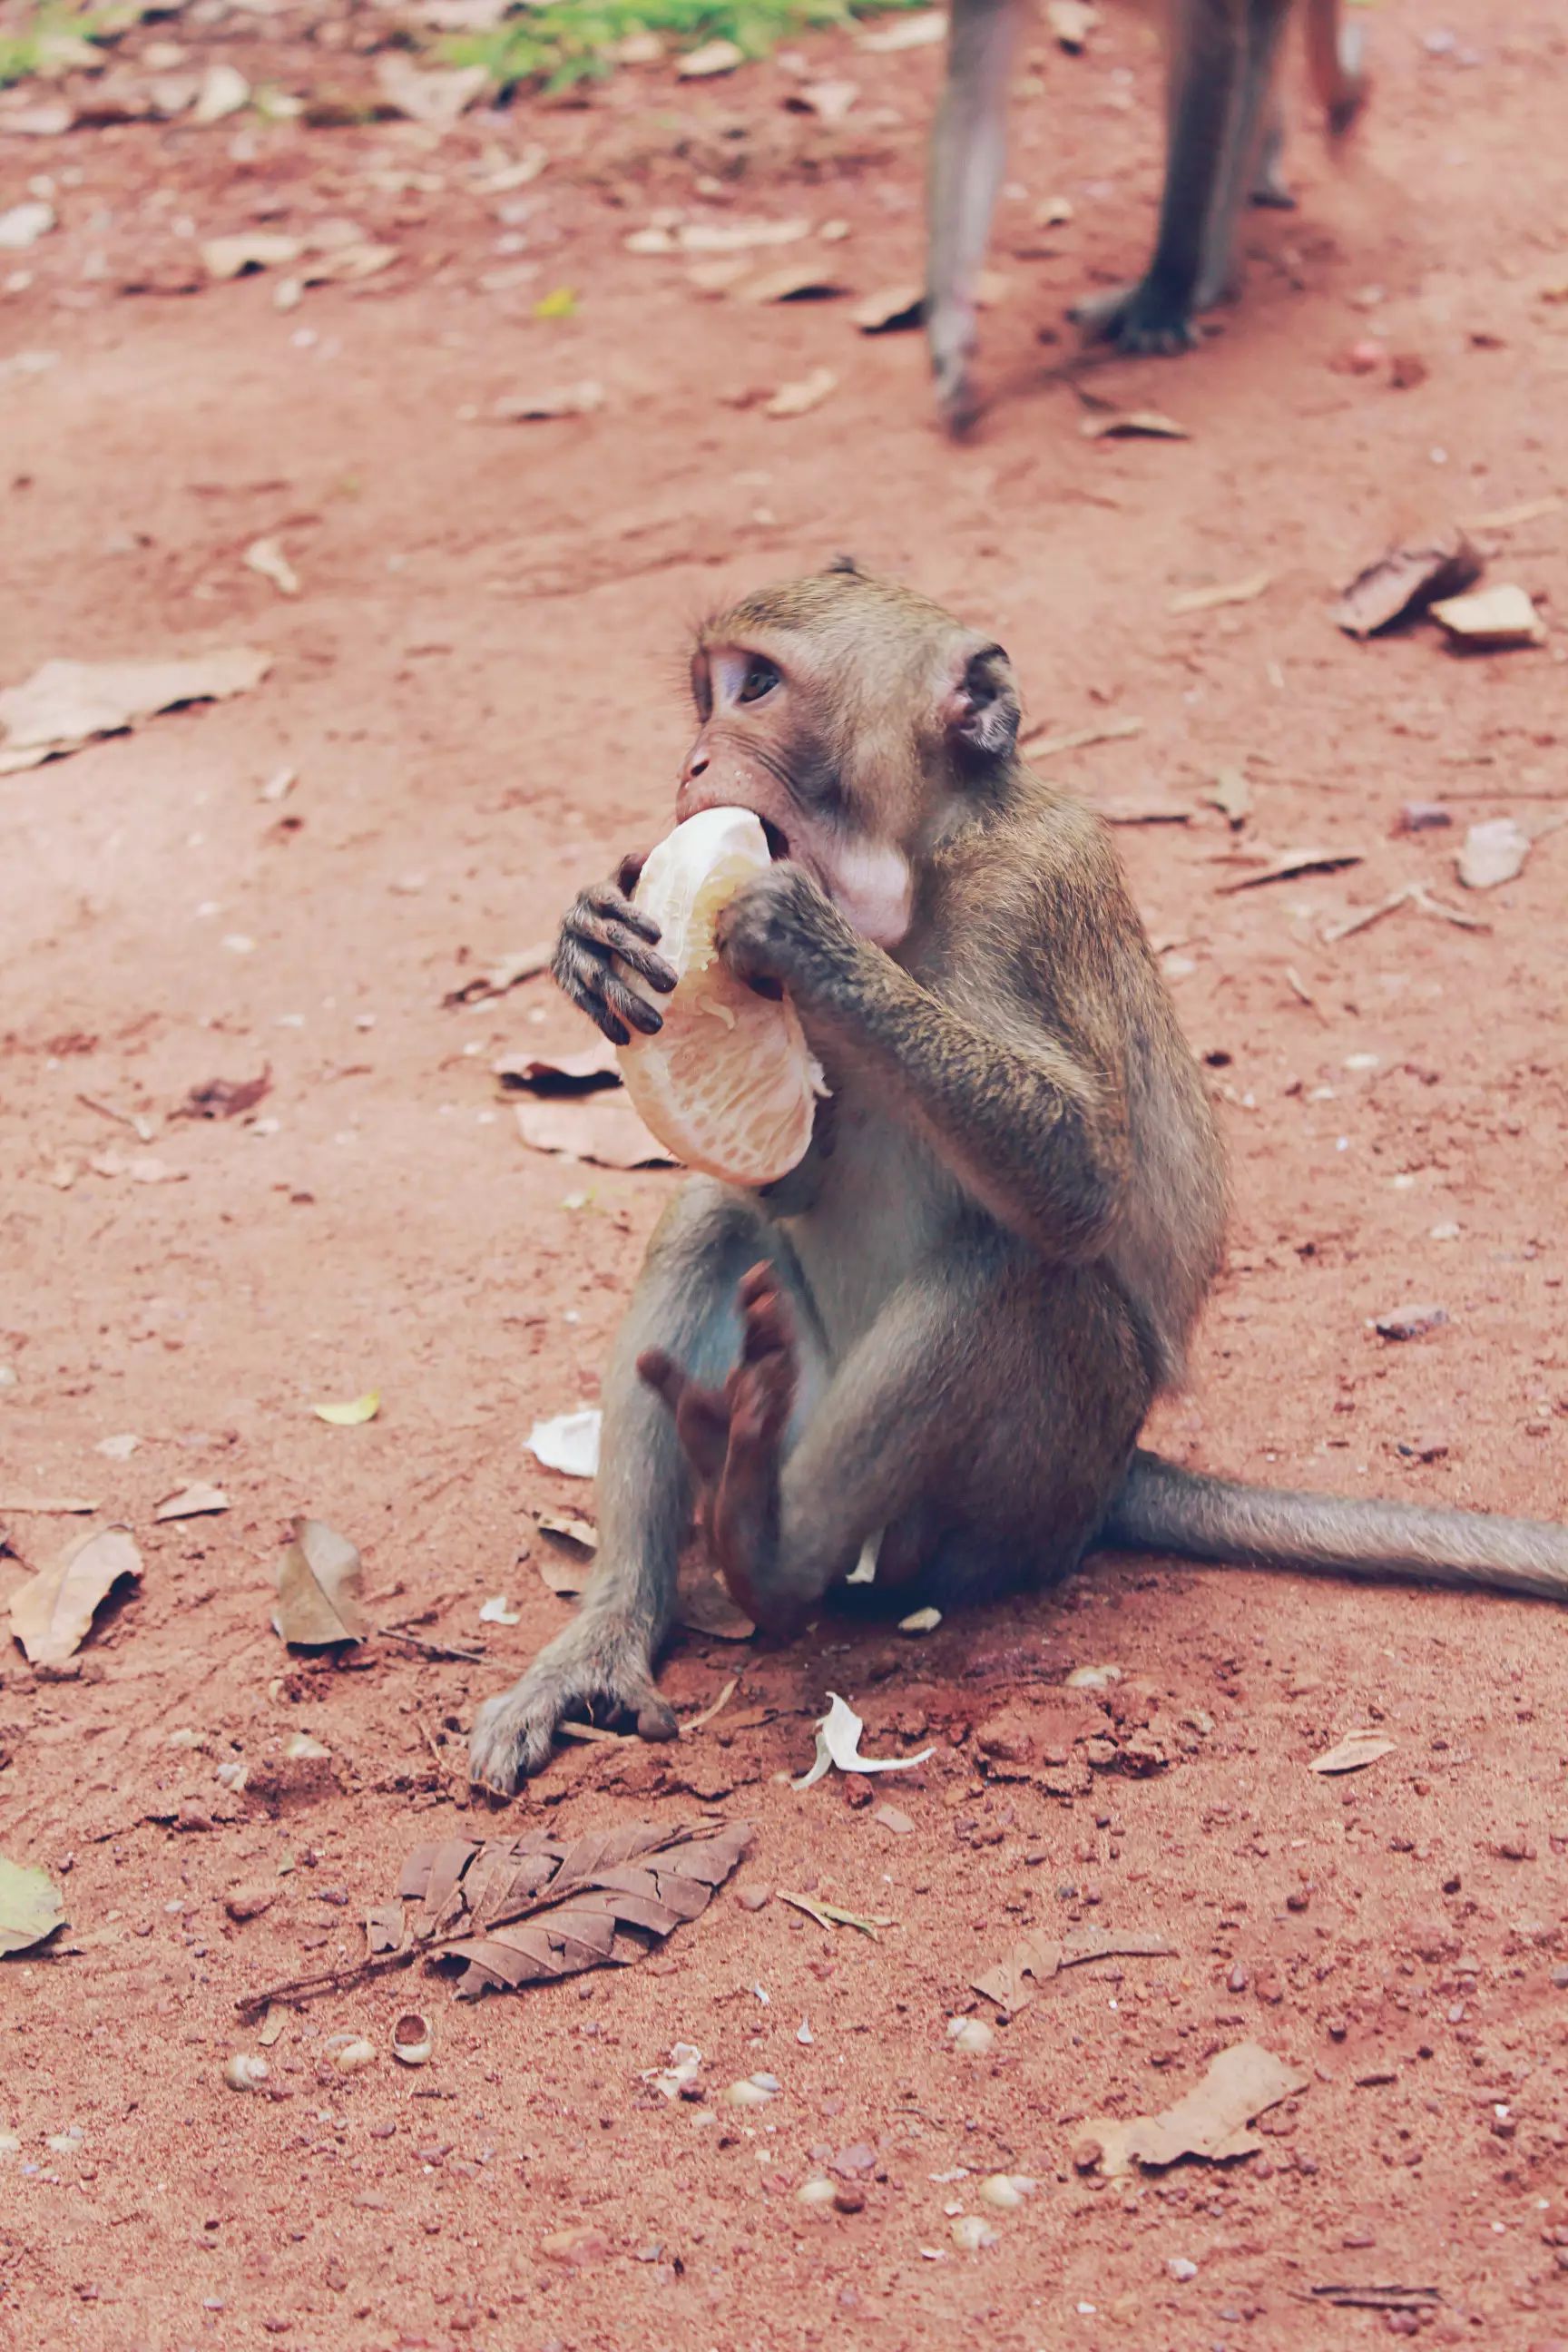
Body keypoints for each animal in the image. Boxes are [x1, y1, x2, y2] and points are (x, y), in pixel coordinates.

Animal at [465, 559, 1568, 1787]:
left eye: (755, 688)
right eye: (706, 696)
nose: (695, 763)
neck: (915, 870)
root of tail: (1115, 1476)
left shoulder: (1036, 892)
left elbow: (1083, 1185)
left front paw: (803, 936)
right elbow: (775, 1178)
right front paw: (590, 935)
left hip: (1031, 1483)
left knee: (1017, 1272)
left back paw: (771, 1552)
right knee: (710, 1224)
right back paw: (613, 1633)